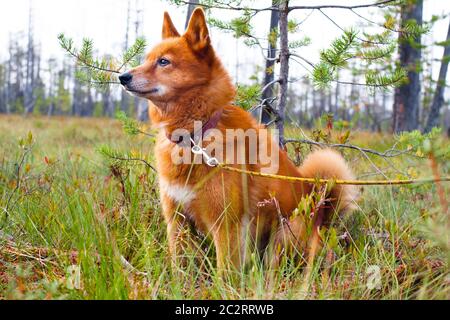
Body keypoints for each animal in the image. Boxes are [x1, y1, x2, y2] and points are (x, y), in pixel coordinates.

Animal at [120, 7, 358, 272]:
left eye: (163, 62)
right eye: (147, 59)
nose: (123, 76)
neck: (196, 135)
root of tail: (321, 216)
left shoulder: (226, 225)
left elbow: (225, 273)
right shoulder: (177, 221)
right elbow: (179, 269)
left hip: (285, 233)